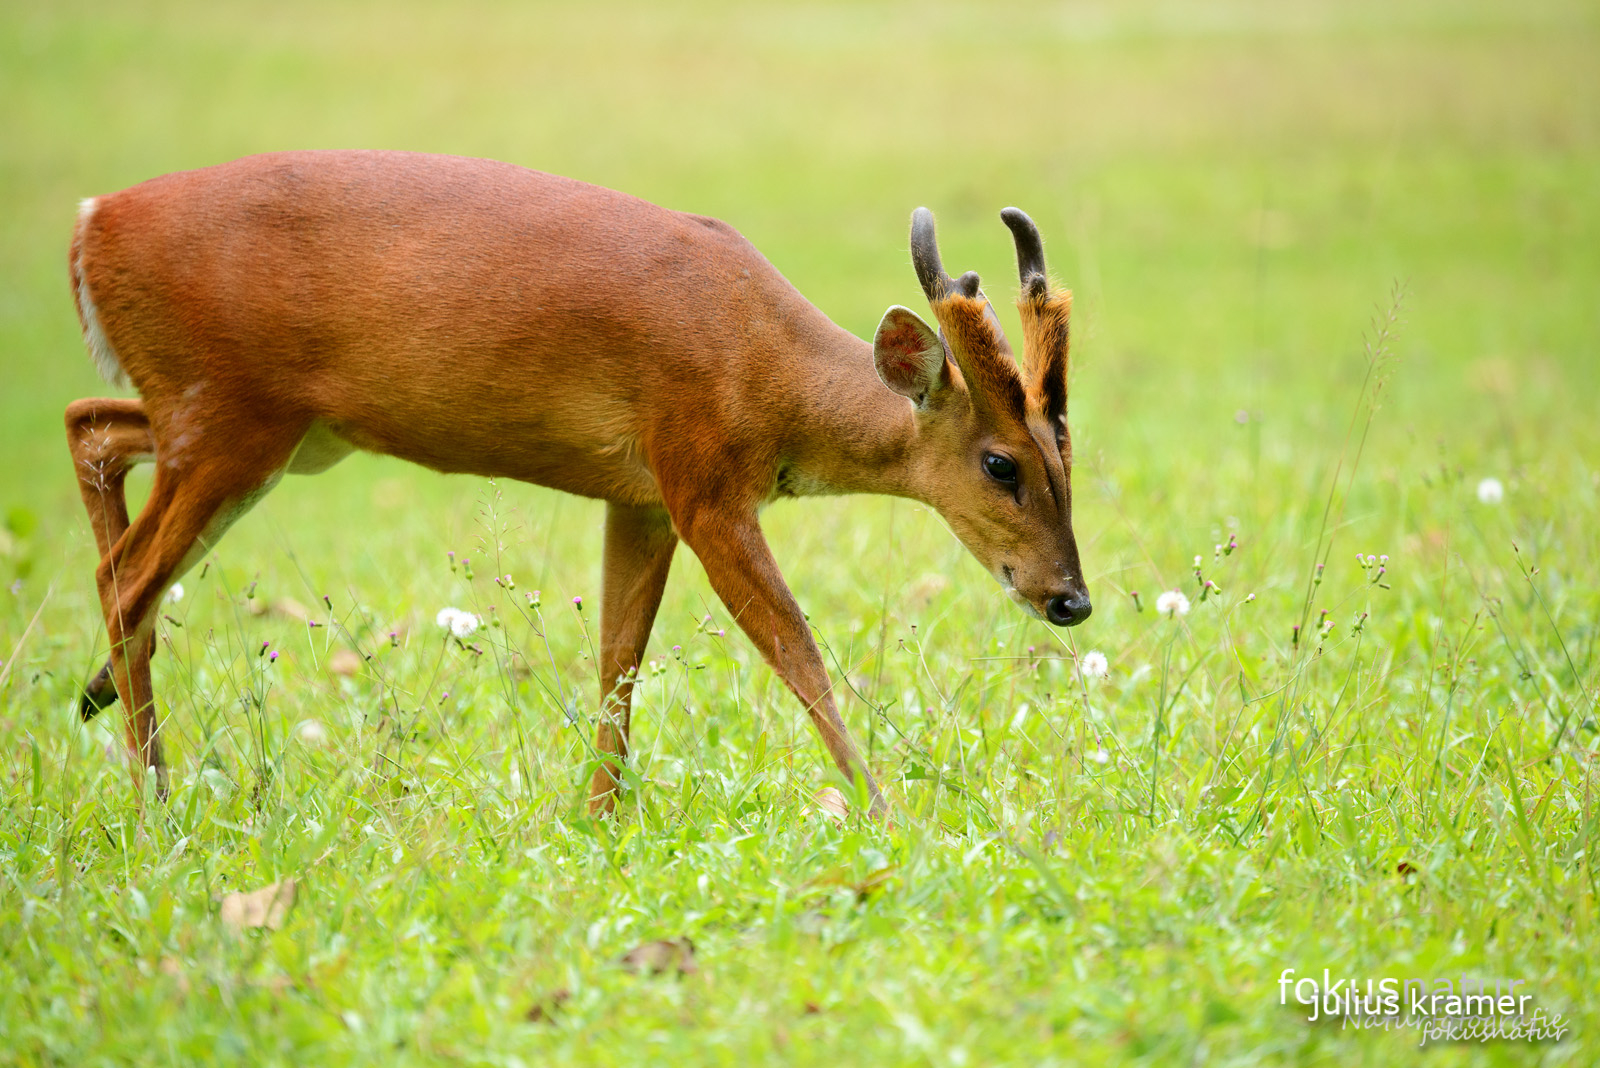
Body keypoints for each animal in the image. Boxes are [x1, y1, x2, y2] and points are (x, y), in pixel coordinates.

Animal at [65, 151, 1088, 818]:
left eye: (1068, 458)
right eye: (1000, 463)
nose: (1070, 599)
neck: (762, 363)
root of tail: (88, 226)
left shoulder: (639, 496)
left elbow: (617, 658)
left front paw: (596, 819)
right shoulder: (700, 476)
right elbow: (795, 649)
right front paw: (884, 812)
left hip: (252, 425)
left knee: (92, 432)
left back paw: (98, 703)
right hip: (229, 419)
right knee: (125, 575)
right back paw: (153, 804)